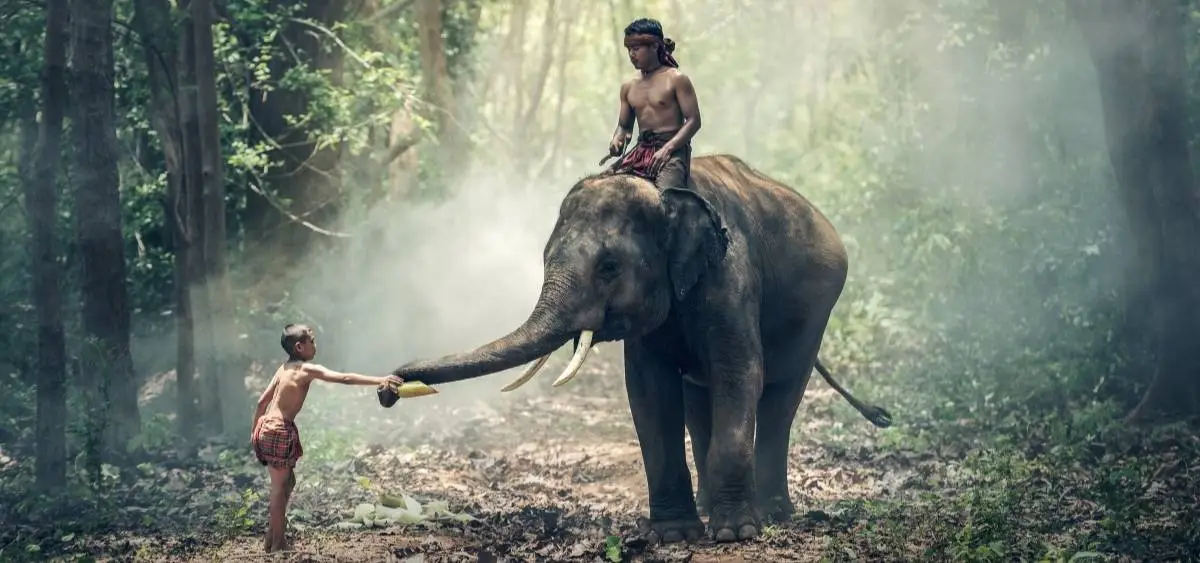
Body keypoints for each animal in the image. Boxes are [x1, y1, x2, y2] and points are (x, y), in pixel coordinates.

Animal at [387, 153, 893, 543]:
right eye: (545, 259)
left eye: (609, 267)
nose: (389, 387)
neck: (665, 195)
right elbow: (650, 392)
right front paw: (675, 535)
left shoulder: (731, 276)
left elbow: (740, 374)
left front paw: (734, 534)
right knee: (699, 400)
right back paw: (710, 507)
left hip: (817, 313)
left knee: (780, 397)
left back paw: (772, 513)